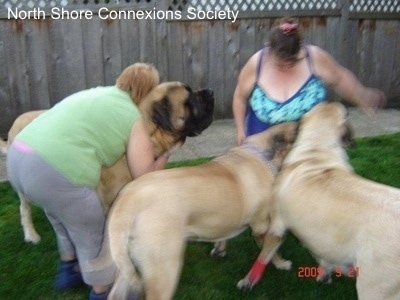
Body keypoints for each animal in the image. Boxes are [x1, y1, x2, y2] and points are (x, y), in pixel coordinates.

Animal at [106, 122, 296, 300]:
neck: (262, 154)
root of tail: (128, 198)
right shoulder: (261, 226)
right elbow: (269, 251)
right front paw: (280, 264)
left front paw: (220, 249)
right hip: (164, 270)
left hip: (123, 265)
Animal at [236, 102, 400, 298]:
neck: (316, 149)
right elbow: (323, 255)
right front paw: (326, 273)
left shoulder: (276, 225)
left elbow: (264, 255)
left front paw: (249, 280)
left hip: (373, 287)